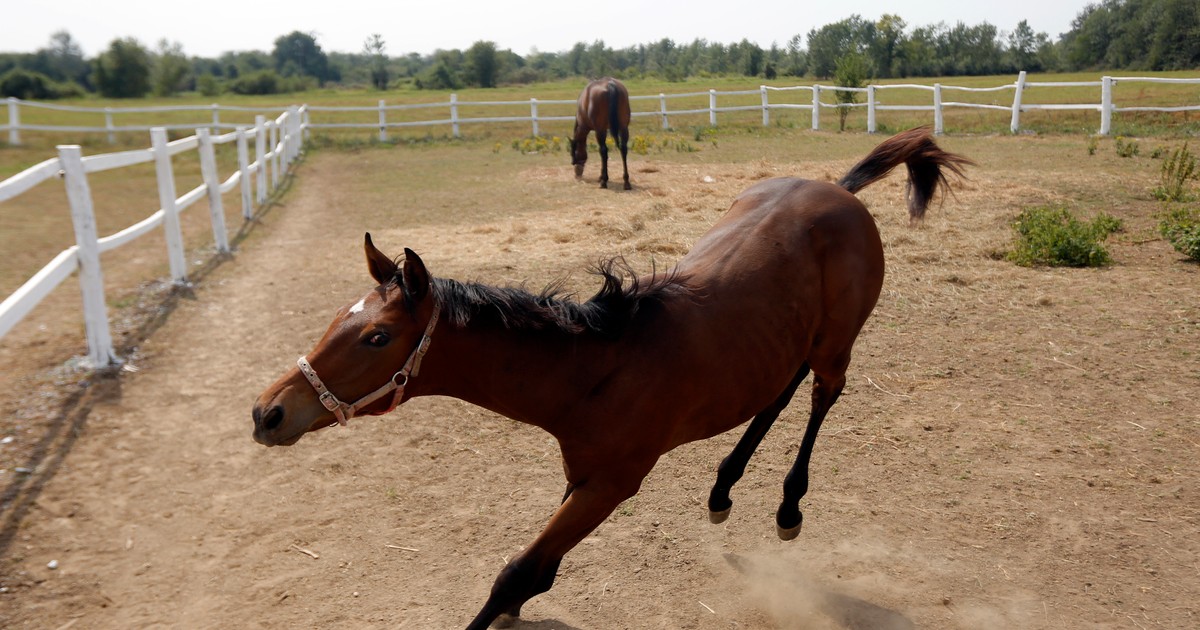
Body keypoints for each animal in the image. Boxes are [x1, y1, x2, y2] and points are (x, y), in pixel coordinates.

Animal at [250, 127, 964, 628]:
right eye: (335, 319)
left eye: (376, 337)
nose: (268, 412)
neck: (594, 369)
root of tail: (841, 189)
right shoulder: (580, 475)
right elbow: (536, 571)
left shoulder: (613, 484)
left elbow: (515, 574)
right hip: (790, 340)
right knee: (777, 391)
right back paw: (722, 489)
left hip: (837, 341)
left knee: (822, 393)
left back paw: (788, 505)